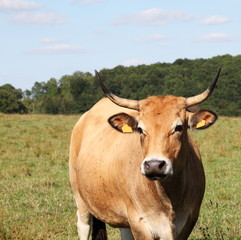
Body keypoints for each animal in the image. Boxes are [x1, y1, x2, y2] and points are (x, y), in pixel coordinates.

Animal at [68, 68, 221, 240]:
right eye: (140, 129)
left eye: (179, 127)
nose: (154, 165)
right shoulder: (140, 222)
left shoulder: (188, 221)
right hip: (80, 196)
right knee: (83, 226)